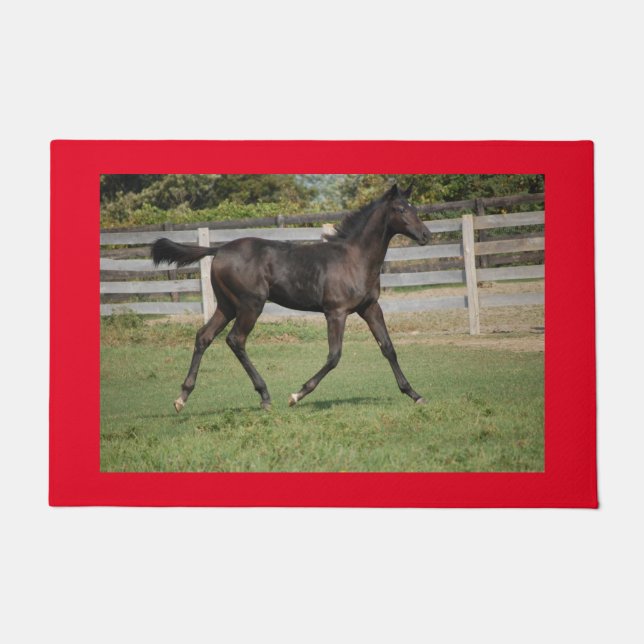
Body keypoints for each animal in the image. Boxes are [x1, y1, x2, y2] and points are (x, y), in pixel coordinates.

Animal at [151, 183, 431, 411]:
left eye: (413, 208)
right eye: (400, 209)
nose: (426, 235)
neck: (354, 258)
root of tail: (218, 250)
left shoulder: (370, 308)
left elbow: (388, 348)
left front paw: (414, 394)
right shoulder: (336, 312)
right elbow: (334, 356)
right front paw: (297, 395)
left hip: (227, 305)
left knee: (204, 336)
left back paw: (182, 397)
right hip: (250, 305)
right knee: (236, 340)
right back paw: (264, 396)